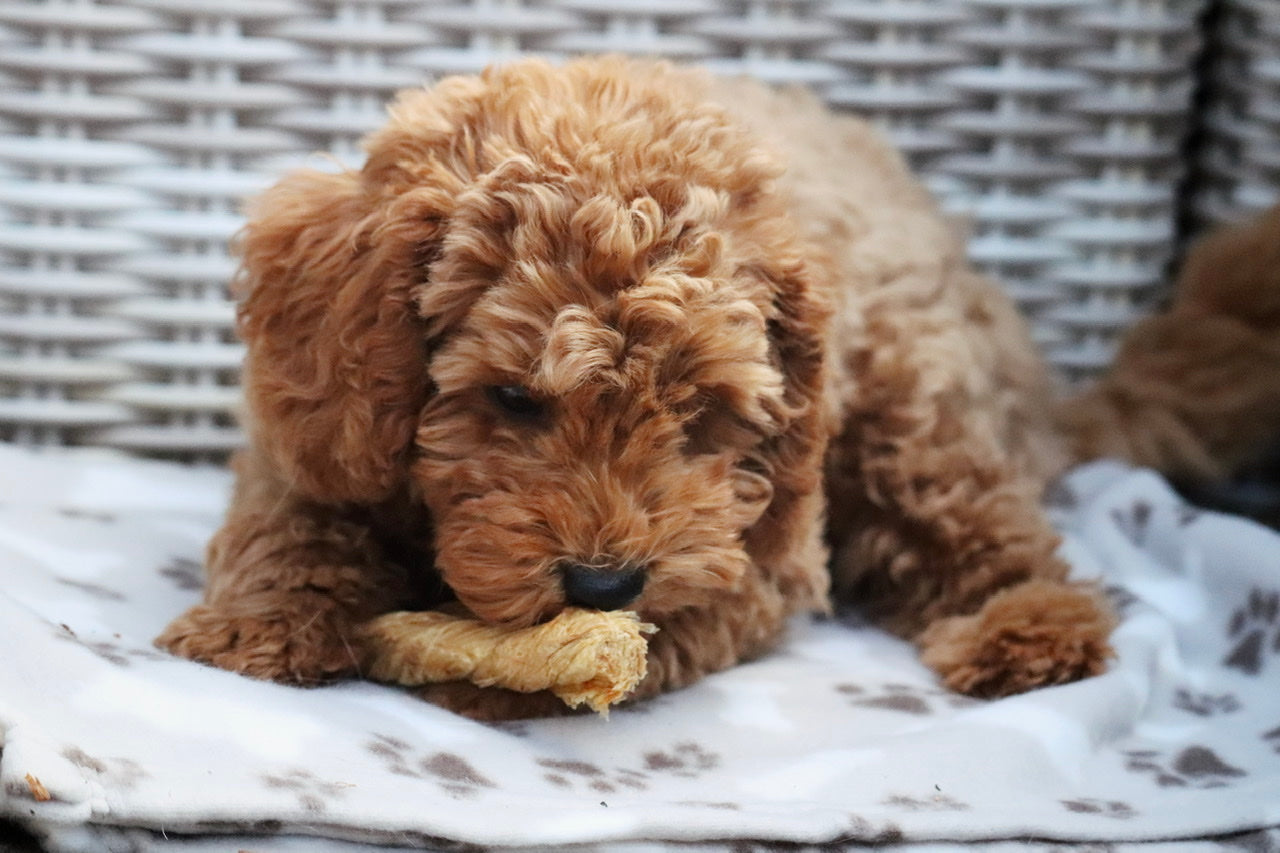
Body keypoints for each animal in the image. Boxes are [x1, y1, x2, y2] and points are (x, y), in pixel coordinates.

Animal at [157, 56, 1280, 712]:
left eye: (697, 413)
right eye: (513, 399)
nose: (602, 584)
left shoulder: (761, 547)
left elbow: (680, 612)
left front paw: (525, 683)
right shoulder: (308, 426)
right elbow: (292, 521)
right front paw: (258, 627)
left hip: (915, 411)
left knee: (1000, 542)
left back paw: (1027, 634)